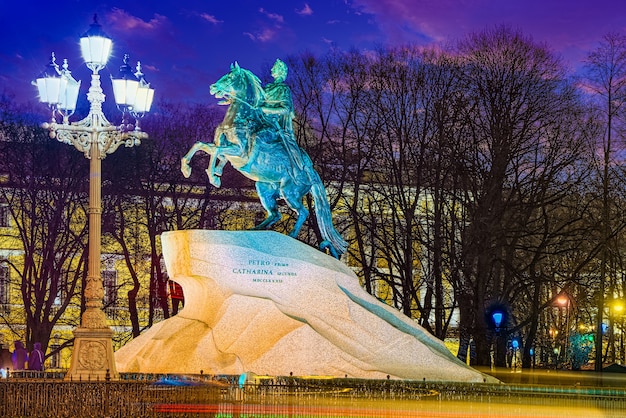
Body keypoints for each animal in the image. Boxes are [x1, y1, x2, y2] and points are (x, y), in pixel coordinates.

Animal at [179, 62, 346, 258]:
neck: (241, 119)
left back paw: (291, 235)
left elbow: (215, 151)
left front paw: (213, 176)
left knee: (303, 212)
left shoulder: (239, 152)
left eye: (230, 77)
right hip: (265, 188)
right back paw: (257, 230)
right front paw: (188, 168)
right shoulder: (224, 147)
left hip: (290, 192)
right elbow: (202, 145)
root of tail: (311, 173)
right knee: (275, 214)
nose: (213, 87)